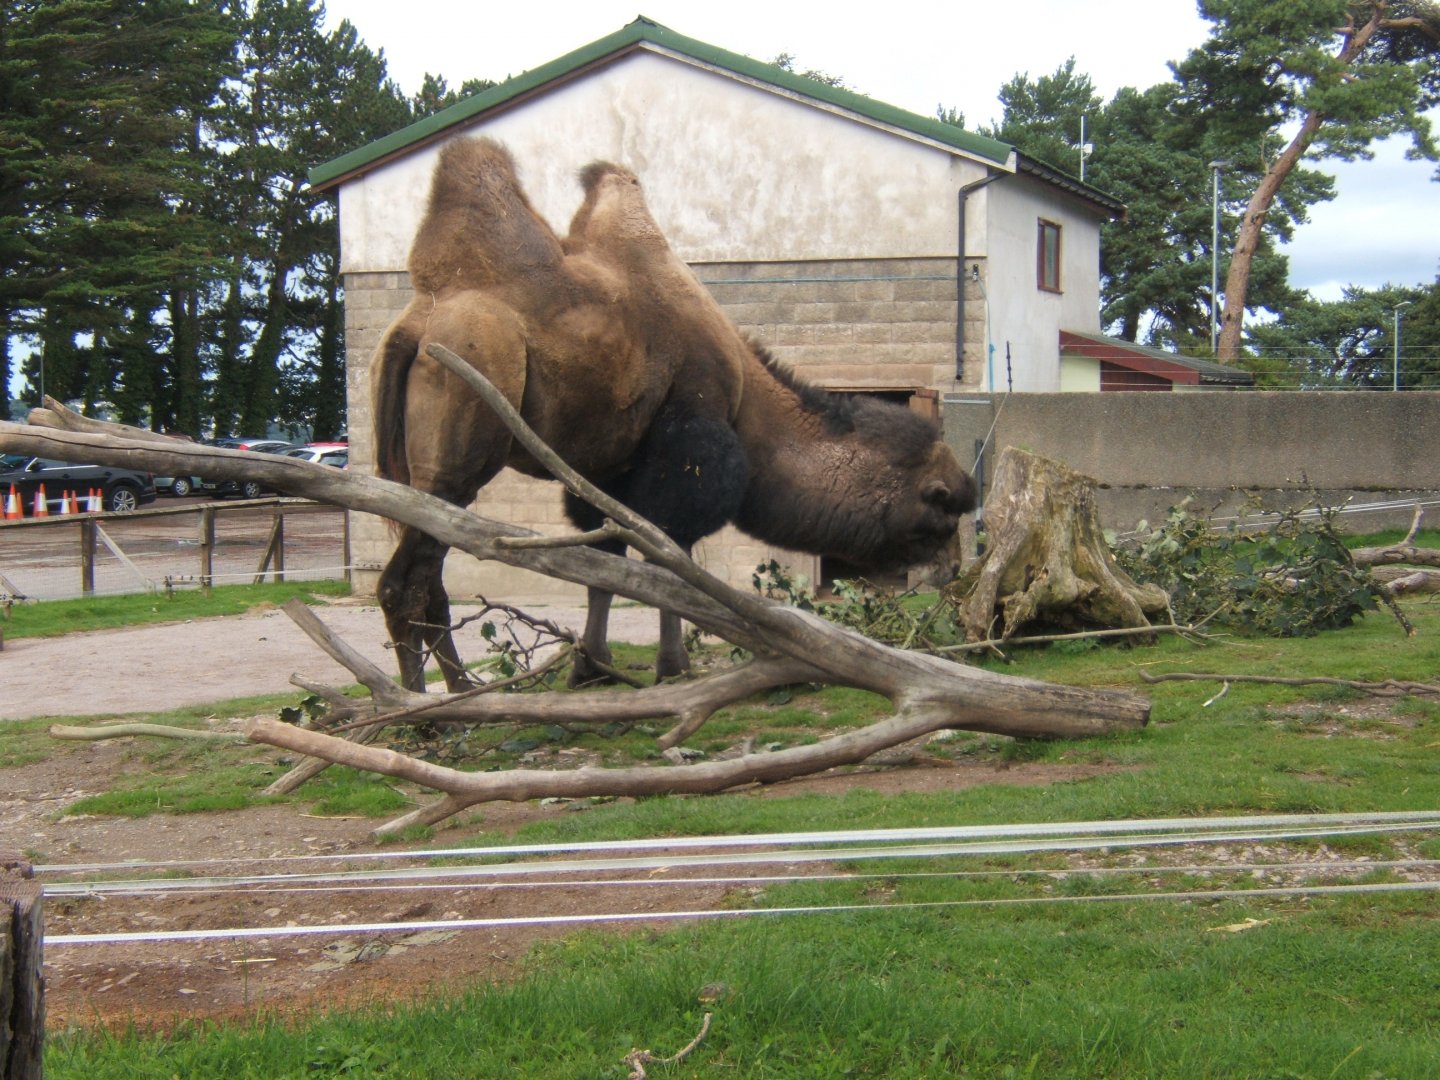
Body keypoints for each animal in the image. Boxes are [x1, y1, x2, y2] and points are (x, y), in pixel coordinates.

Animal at [372, 137, 975, 692]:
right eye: (940, 507)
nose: (954, 572)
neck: (751, 408)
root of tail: (418, 325)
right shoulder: (690, 444)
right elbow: (672, 558)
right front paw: (673, 666)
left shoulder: (606, 471)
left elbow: (607, 564)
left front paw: (594, 666)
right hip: (463, 425)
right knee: (407, 581)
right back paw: (432, 707)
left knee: (426, 579)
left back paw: (445, 694)